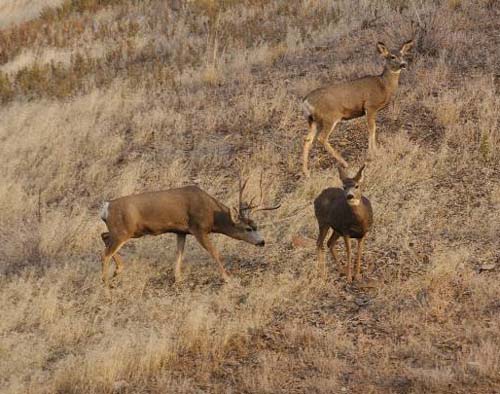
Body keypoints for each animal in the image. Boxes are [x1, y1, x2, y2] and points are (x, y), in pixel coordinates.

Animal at [97, 176, 278, 286]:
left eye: (257, 226)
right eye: (248, 228)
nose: (262, 242)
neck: (212, 215)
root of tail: (106, 208)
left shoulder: (181, 231)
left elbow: (179, 253)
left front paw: (178, 278)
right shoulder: (199, 228)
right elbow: (215, 253)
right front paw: (228, 279)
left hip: (123, 231)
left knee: (104, 236)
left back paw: (118, 270)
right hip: (123, 231)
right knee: (105, 253)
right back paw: (105, 283)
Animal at [300, 39, 414, 175]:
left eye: (402, 55)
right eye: (392, 56)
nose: (403, 64)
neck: (383, 86)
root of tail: (306, 101)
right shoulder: (370, 106)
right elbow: (372, 129)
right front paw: (373, 154)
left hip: (313, 120)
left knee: (307, 140)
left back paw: (306, 172)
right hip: (329, 117)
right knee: (322, 138)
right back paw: (344, 163)